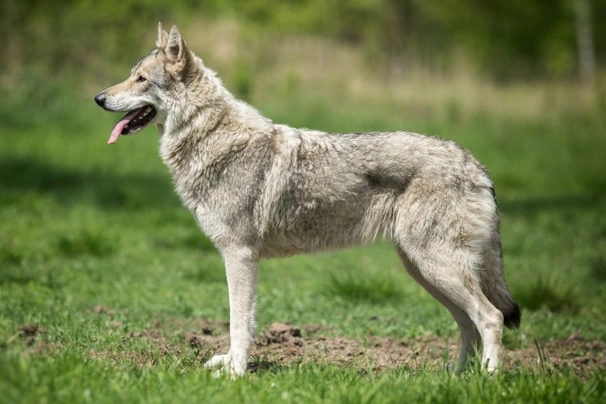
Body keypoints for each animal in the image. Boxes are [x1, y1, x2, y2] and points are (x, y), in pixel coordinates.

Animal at [95, 22, 524, 376]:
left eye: (140, 79)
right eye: (130, 76)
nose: (98, 98)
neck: (213, 137)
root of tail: (477, 165)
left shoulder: (239, 255)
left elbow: (238, 322)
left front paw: (235, 374)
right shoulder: (243, 258)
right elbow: (242, 322)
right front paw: (232, 365)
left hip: (435, 267)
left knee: (490, 318)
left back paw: (487, 379)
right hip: (424, 271)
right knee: (468, 324)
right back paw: (456, 378)